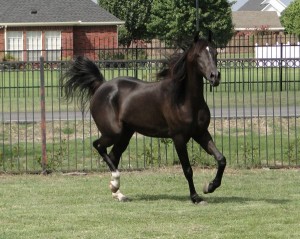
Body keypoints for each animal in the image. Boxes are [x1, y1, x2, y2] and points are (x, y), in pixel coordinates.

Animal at [61, 35, 225, 204]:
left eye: (215, 52)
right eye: (198, 55)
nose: (215, 76)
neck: (183, 99)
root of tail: (101, 86)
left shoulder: (201, 133)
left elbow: (221, 159)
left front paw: (210, 187)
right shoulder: (179, 138)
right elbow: (187, 169)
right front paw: (196, 197)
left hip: (125, 135)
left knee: (113, 156)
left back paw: (117, 192)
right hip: (114, 133)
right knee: (98, 145)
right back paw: (115, 182)